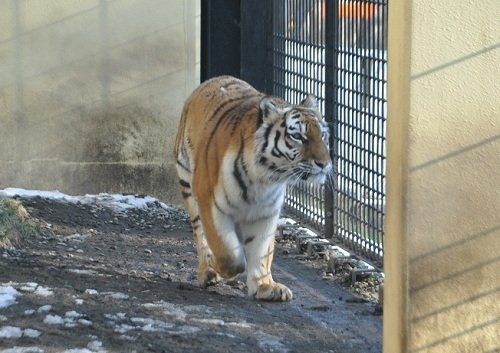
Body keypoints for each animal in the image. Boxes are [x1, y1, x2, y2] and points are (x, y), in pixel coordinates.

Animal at [173, 75, 332, 302]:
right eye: (298, 137)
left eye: (323, 136)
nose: (324, 163)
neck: (265, 178)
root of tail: (213, 79)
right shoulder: (210, 202)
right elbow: (227, 251)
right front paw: (226, 269)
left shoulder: (266, 214)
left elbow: (262, 251)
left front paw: (265, 286)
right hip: (187, 181)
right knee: (201, 235)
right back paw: (208, 272)